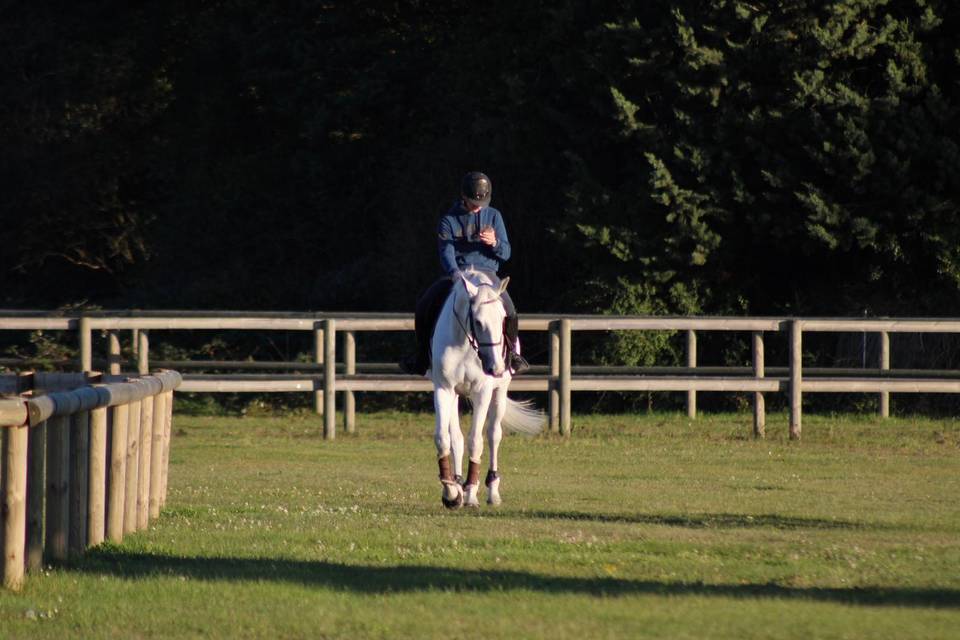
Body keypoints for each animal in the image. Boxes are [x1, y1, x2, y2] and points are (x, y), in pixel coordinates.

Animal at [432, 268, 544, 508]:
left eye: (502, 319)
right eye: (478, 321)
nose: (496, 367)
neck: (465, 344)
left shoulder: (482, 392)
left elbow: (476, 440)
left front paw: (471, 493)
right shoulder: (444, 389)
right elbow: (443, 438)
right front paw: (451, 492)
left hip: (499, 393)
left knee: (494, 435)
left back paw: (491, 490)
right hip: (456, 395)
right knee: (456, 438)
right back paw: (458, 483)